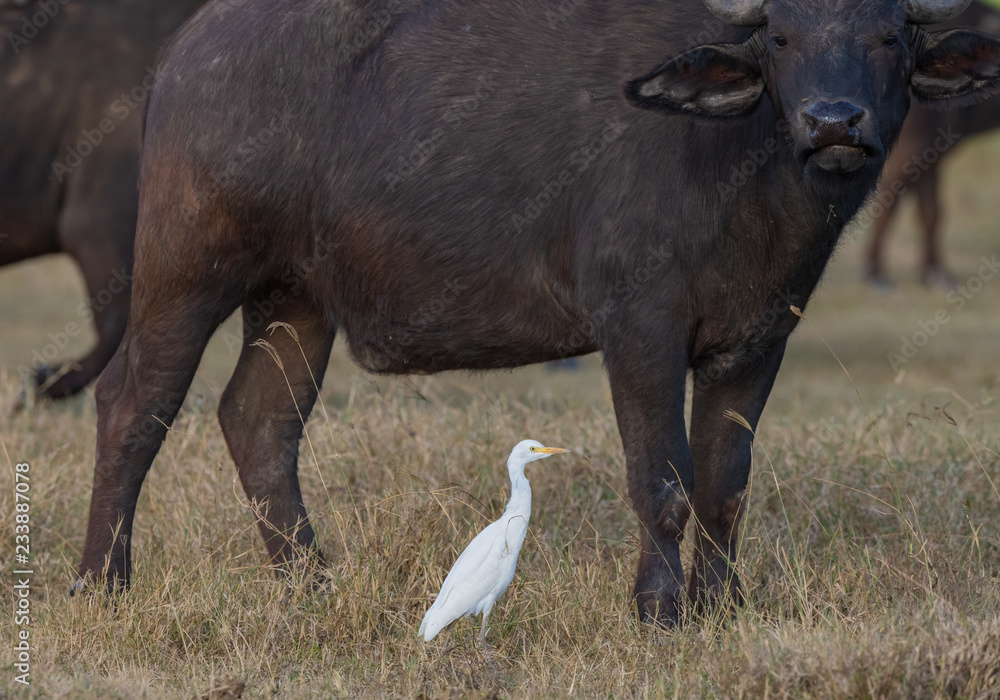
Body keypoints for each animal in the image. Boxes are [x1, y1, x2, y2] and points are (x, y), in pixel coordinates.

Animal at [864, 0, 1000, 286]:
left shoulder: (931, 153)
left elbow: (930, 211)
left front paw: (933, 270)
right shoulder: (912, 148)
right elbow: (890, 201)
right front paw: (874, 270)